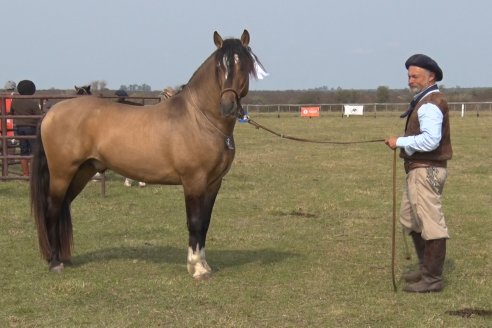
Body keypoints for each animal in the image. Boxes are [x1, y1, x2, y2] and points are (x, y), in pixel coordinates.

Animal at [29, 30, 264, 280]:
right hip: (62, 173)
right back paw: (55, 262)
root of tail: (52, 112)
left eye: (243, 66)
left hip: (82, 172)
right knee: (53, 210)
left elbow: (205, 223)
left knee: (63, 206)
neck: (200, 120)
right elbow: (195, 221)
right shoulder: (194, 181)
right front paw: (196, 267)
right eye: (220, 67)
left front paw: (204, 265)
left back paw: (63, 258)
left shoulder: (213, 183)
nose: (228, 107)